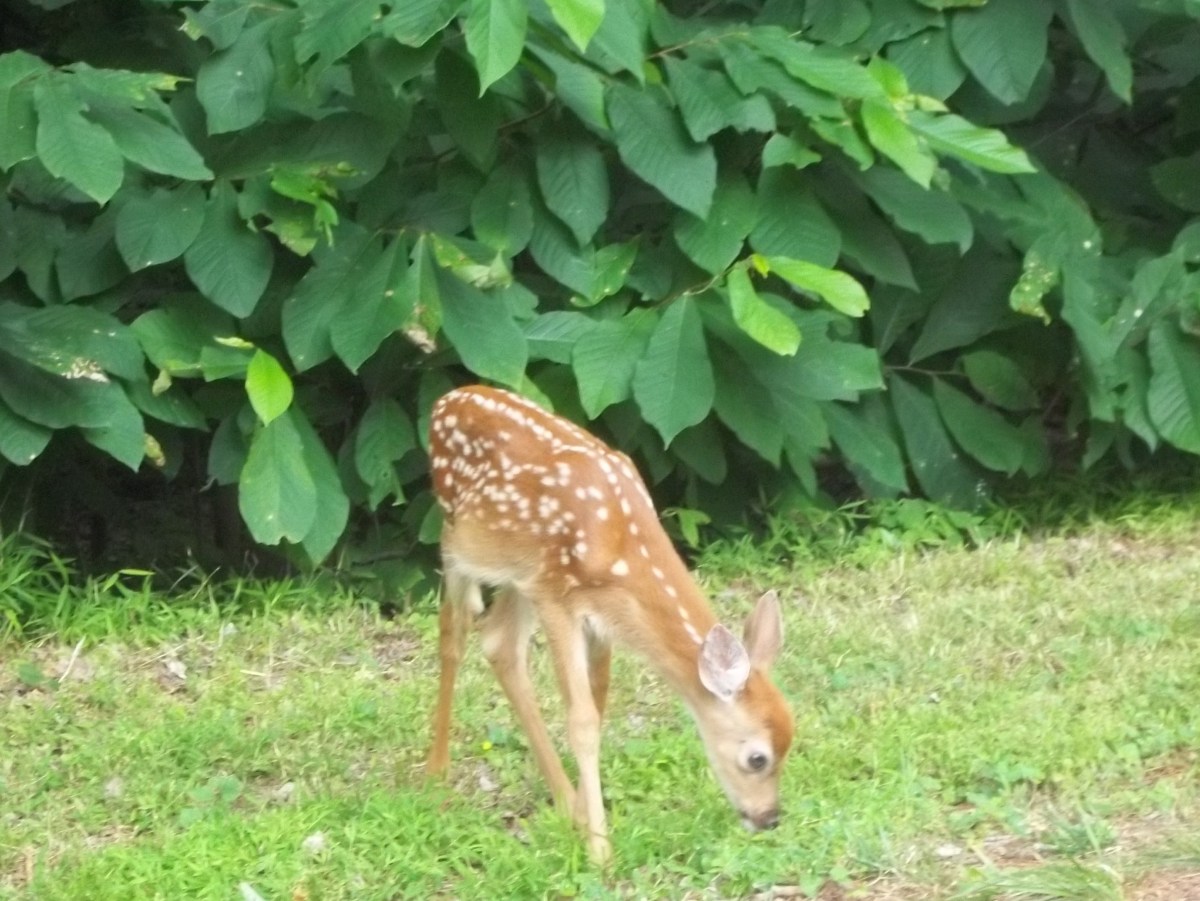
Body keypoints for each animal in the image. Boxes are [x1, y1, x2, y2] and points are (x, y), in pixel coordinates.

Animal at [424, 384, 794, 863]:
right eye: (757, 759)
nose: (769, 818)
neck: (619, 544)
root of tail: (449, 398)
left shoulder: (595, 613)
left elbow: (598, 704)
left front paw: (585, 816)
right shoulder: (557, 597)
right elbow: (582, 720)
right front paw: (600, 849)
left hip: (520, 573)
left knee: (498, 642)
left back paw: (565, 802)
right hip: (457, 539)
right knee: (453, 634)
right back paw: (436, 773)